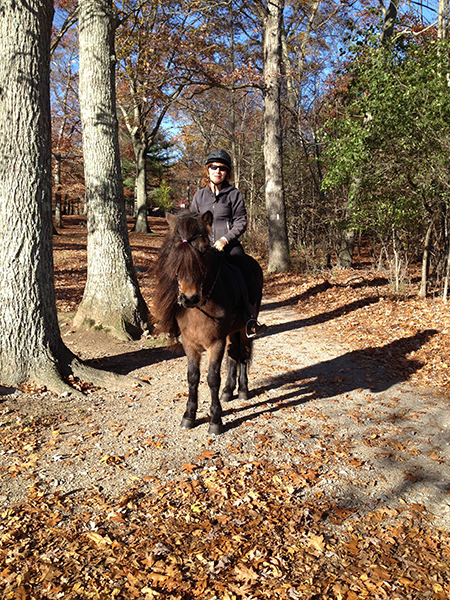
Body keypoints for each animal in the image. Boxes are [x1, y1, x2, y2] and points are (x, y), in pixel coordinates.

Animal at [153, 209, 264, 434]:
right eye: (175, 251)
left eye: (204, 249)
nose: (189, 298)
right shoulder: (190, 343)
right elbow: (192, 377)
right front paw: (189, 415)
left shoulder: (216, 342)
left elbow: (212, 378)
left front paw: (215, 420)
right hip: (232, 331)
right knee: (234, 354)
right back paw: (228, 391)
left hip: (246, 327)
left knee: (243, 354)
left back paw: (243, 390)